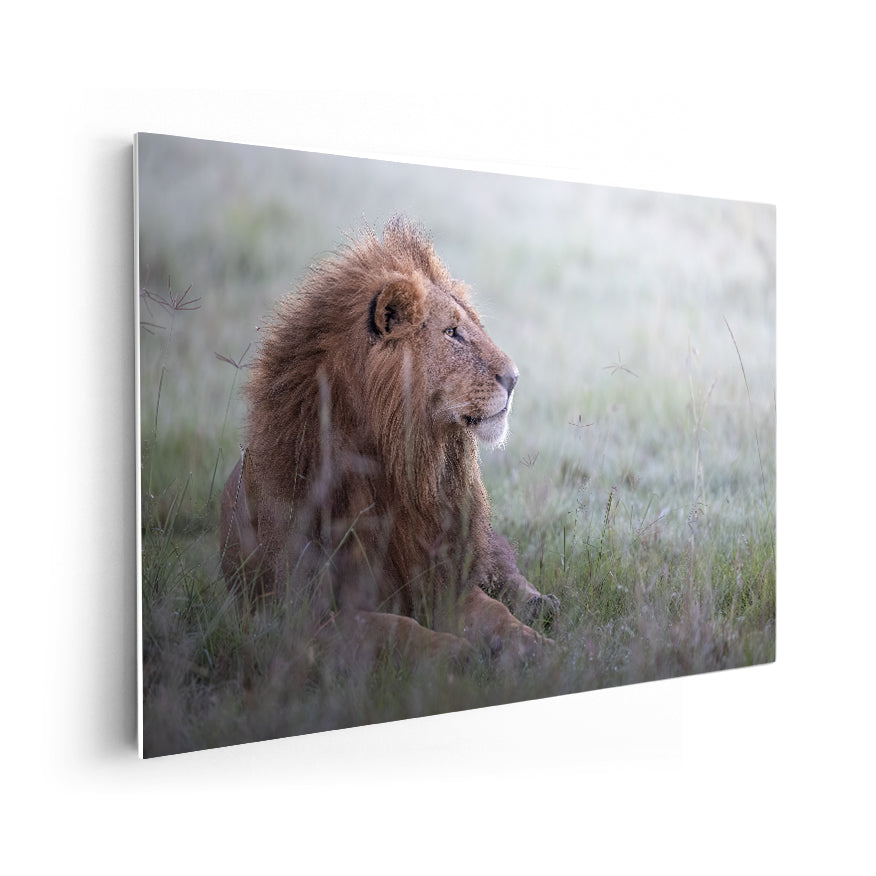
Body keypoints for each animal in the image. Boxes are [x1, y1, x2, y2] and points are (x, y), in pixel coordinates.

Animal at [220, 216, 558, 667]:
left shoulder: (445, 581)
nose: (515, 378)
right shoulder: (305, 618)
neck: (403, 471)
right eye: (453, 333)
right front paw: (454, 651)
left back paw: (542, 605)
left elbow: (496, 612)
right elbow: (393, 627)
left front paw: (534, 646)